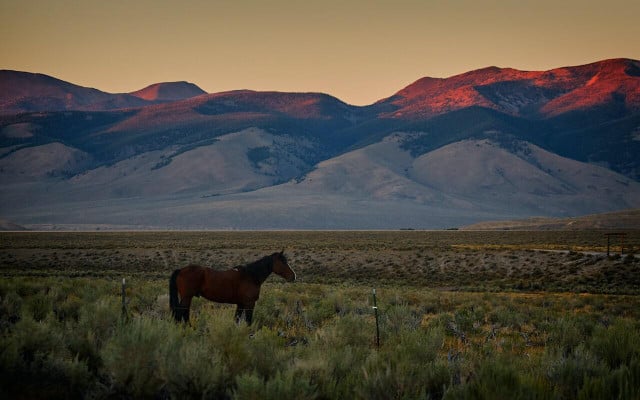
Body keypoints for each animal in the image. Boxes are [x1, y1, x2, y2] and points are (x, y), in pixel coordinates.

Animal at [166, 250, 294, 324]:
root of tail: (181, 270)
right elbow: (248, 321)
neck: (251, 276)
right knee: (180, 313)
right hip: (187, 297)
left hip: (188, 297)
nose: (293, 276)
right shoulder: (249, 304)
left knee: (184, 313)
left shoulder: (241, 304)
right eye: (283, 262)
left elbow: (236, 320)